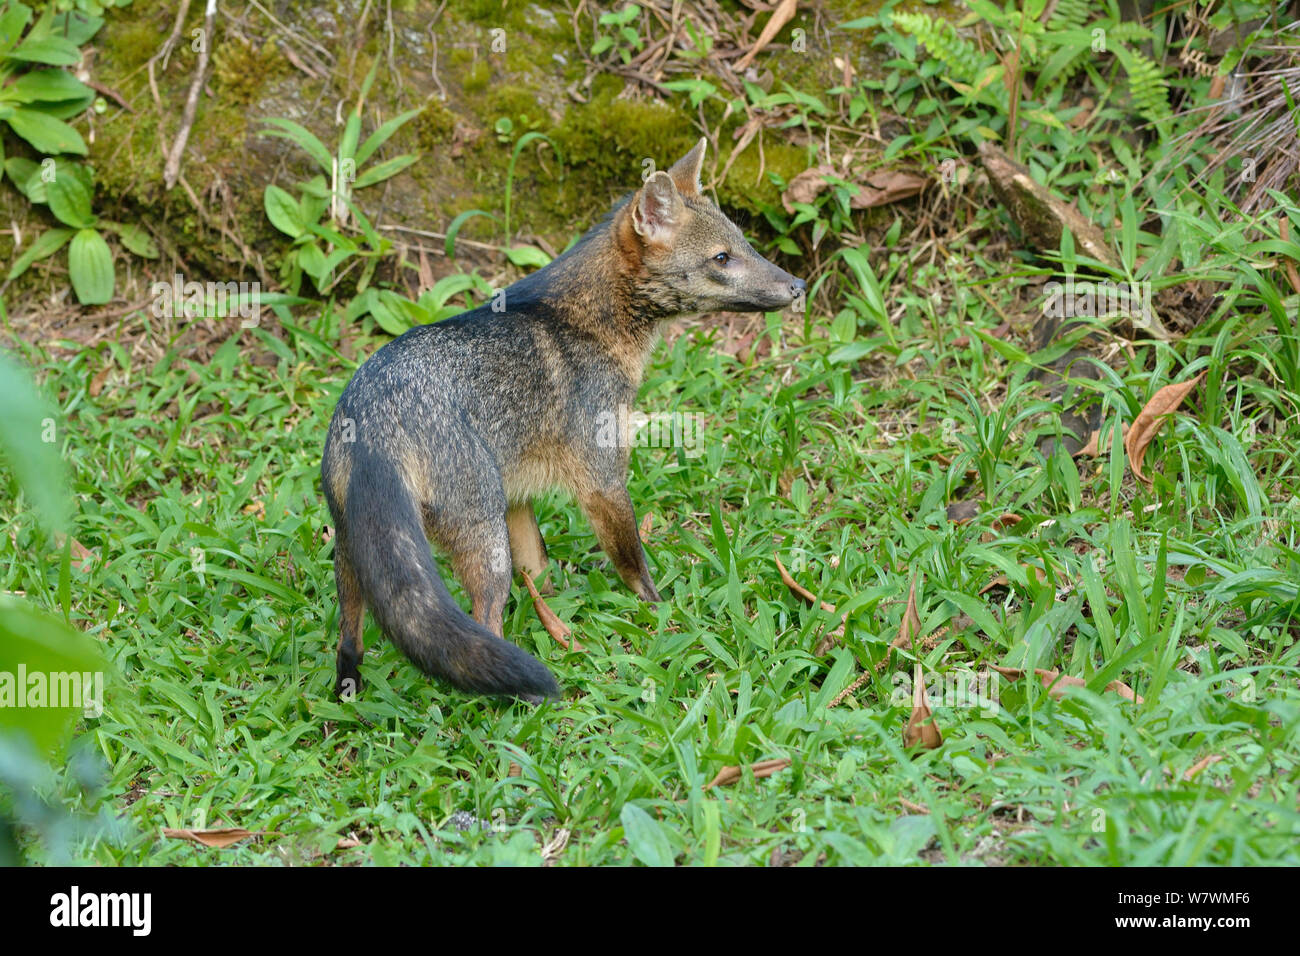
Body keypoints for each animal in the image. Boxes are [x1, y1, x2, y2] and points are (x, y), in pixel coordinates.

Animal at [320, 138, 805, 702]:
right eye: (721, 259)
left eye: (746, 246)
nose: (798, 285)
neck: (586, 323)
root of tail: (372, 416)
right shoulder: (602, 481)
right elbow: (635, 567)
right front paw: (661, 617)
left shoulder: (519, 498)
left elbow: (542, 572)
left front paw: (556, 617)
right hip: (485, 546)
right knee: (484, 623)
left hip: (358, 557)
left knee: (349, 643)